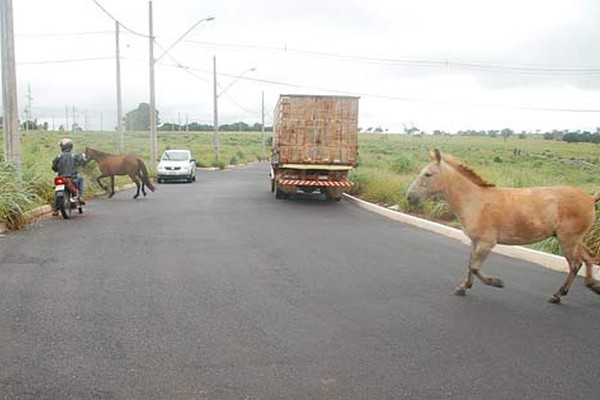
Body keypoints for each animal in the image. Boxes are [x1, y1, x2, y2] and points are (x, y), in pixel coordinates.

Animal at [406, 149, 600, 304]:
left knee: (575, 264)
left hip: (568, 239)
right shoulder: (475, 241)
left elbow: (475, 267)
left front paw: (496, 282)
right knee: (587, 257)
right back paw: (592, 286)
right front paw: (463, 287)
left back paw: (558, 295)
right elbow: (470, 264)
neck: (475, 201)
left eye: (428, 174)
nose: (409, 197)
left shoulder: (487, 242)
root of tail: (590, 199)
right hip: (573, 239)